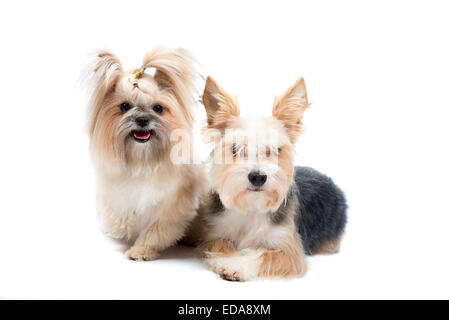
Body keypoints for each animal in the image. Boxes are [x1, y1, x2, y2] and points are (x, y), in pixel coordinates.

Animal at [83, 48, 204, 262]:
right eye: (124, 106)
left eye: (158, 108)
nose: (142, 120)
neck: (142, 160)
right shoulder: (116, 195)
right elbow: (119, 216)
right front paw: (120, 229)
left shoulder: (171, 208)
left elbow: (154, 231)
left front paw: (140, 251)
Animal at [189, 76, 346, 282]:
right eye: (235, 149)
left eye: (274, 150)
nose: (257, 177)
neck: (252, 207)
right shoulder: (213, 234)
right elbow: (221, 245)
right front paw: (226, 258)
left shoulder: (290, 252)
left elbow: (264, 255)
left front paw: (237, 265)